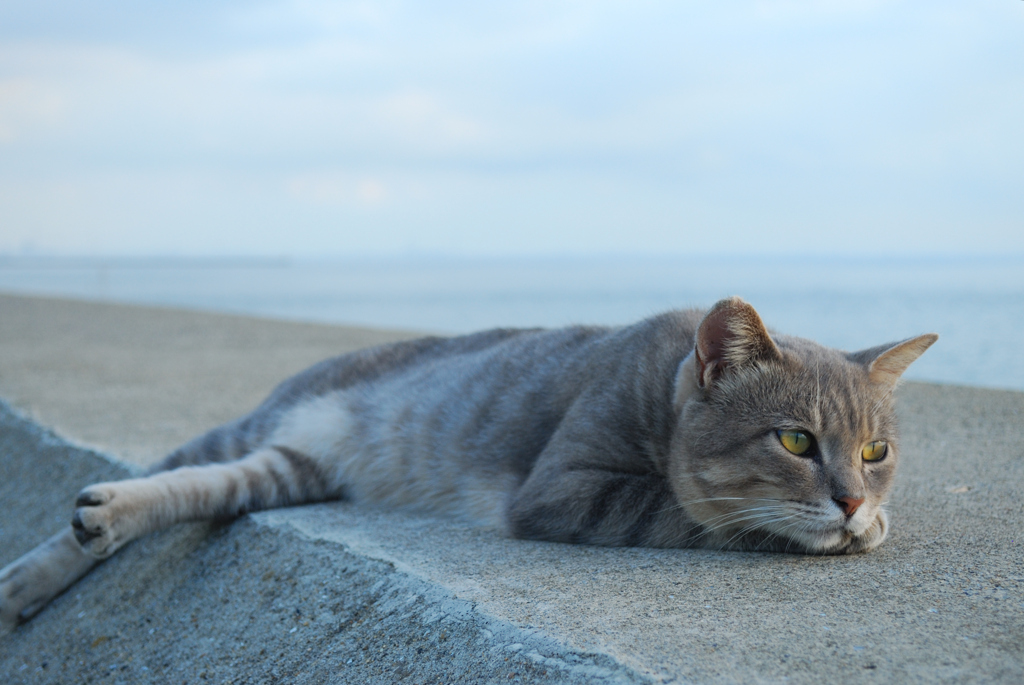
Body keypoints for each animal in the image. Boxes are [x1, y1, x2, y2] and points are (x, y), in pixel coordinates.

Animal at [0, 296, 937, 626]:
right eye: (795, 440)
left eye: (876, 450)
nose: (853, 500)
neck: (663, 387)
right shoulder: (565, 489)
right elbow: (703, 516)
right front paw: (844, 529)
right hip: (249, 434)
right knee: (159, 474)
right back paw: (36, 569)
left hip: (282, 467)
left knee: (190, 487)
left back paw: (95, 524)